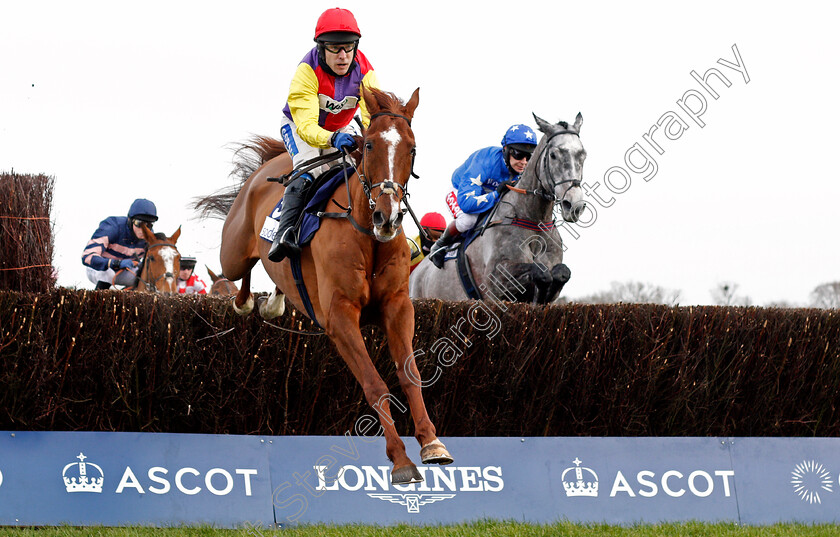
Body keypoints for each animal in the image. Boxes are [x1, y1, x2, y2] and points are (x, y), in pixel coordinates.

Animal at [194, 89, 452, 486]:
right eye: (370, 145)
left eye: (411, 148)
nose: (388, 217)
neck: (367, 234)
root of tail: (269, 165)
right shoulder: (340, 316)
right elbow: (375, 384)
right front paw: (400, 461)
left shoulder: (397, 306)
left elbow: (410, 375)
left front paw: (432, 443)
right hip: (233, 251)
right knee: (239, 269)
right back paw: (245, 301)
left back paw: (275, 301)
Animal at [408, 113, 584, 304]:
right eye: (553, 155)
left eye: (583, 155)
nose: (574, 205)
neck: (532, 219)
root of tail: (416, 272)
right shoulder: (497, 278)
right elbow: (541, 272)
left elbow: (561, 272)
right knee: (465, 219)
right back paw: (437, 249)